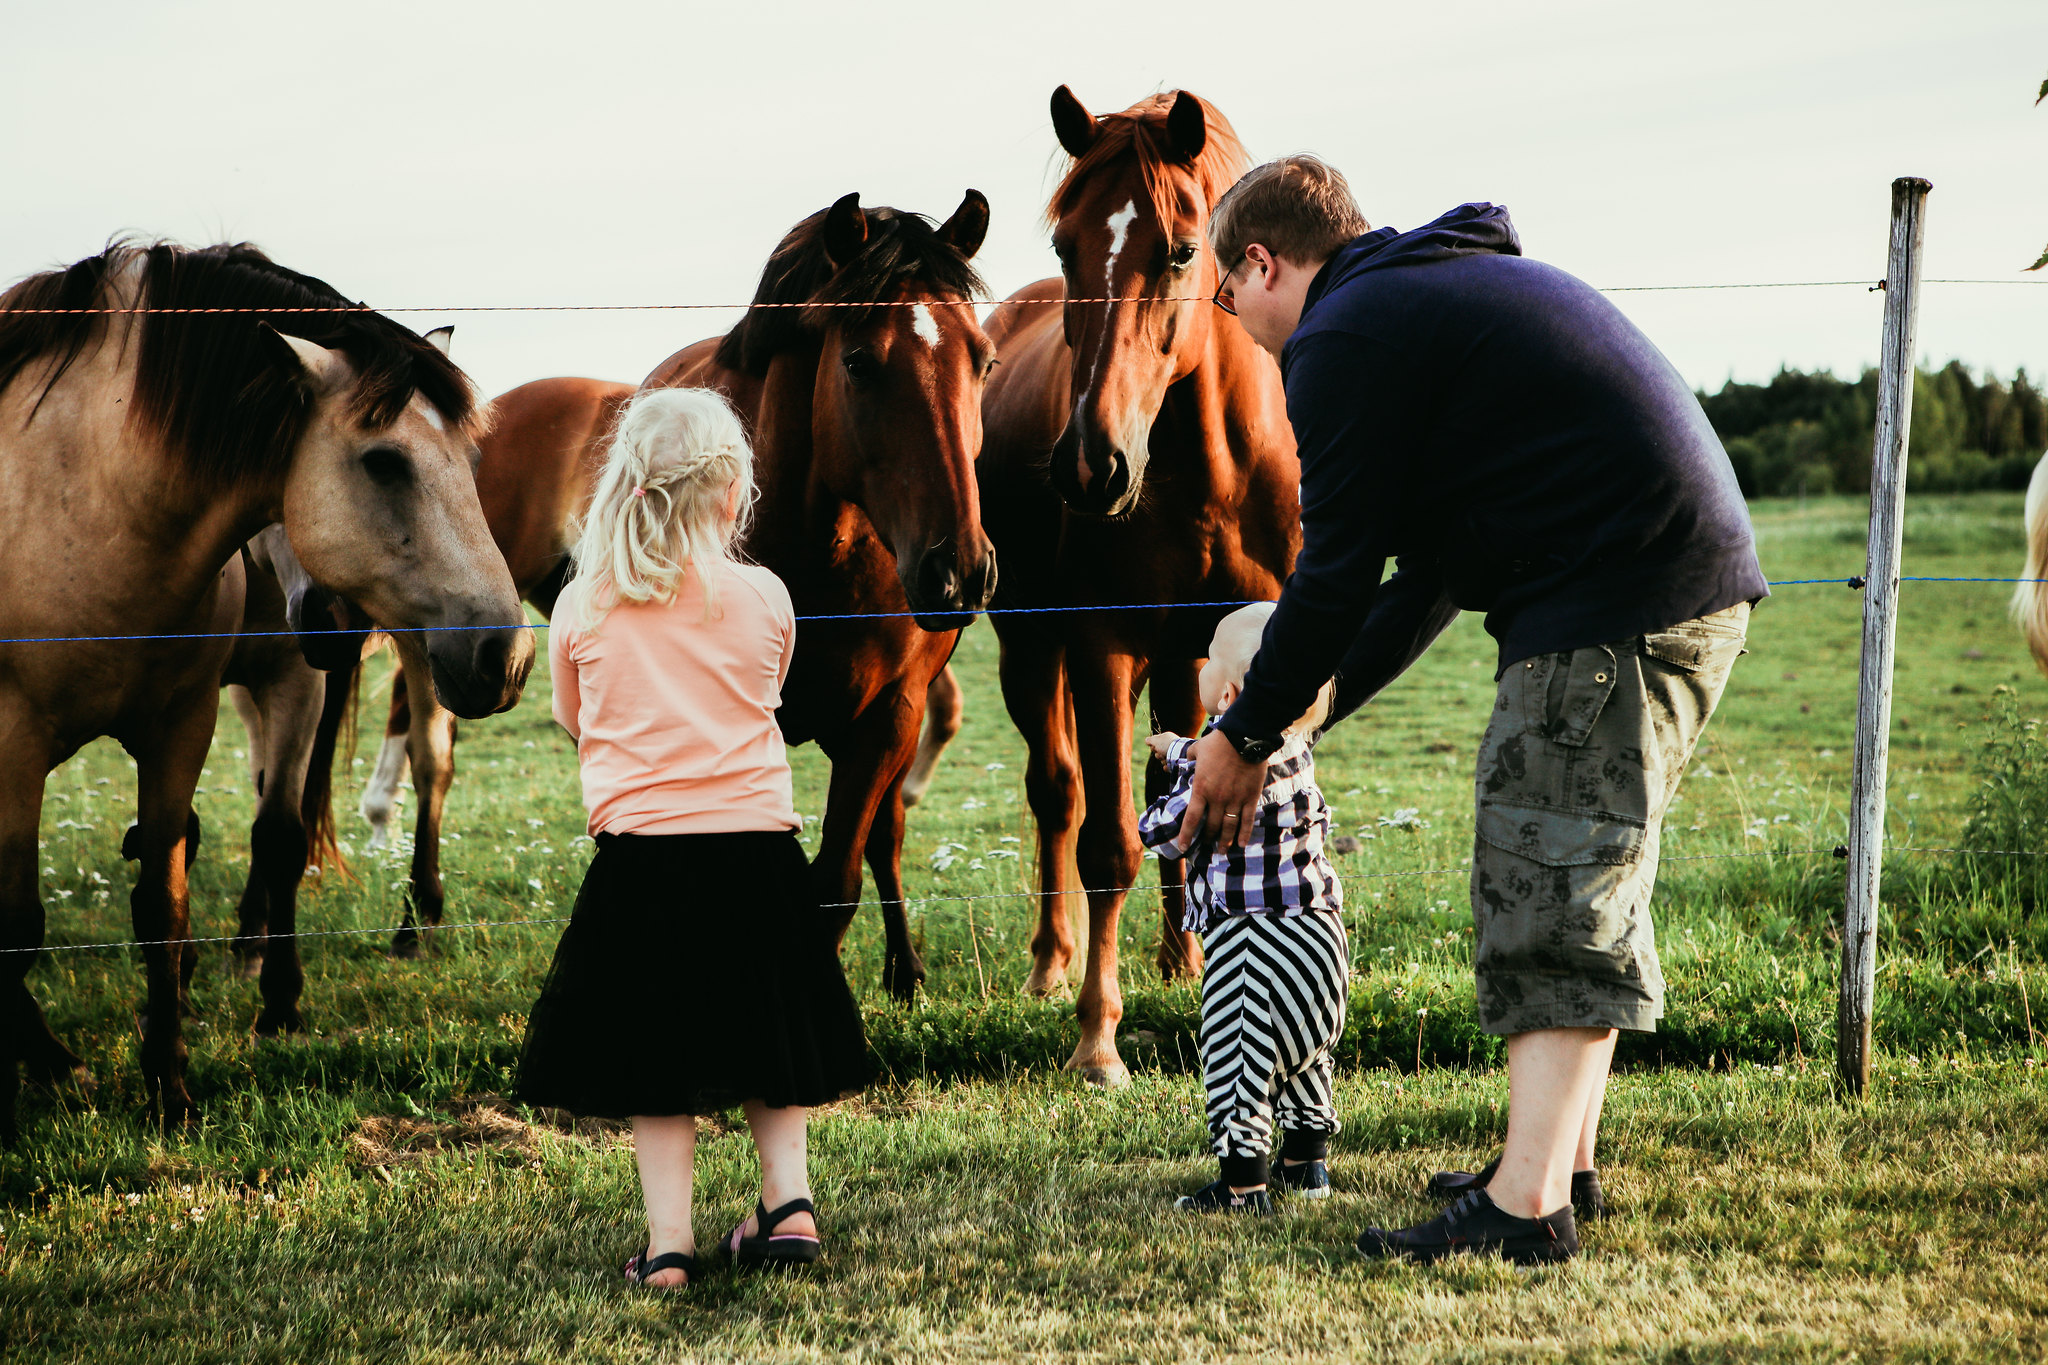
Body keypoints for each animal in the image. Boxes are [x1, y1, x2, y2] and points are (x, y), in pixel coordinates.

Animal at [0, 240, 532, 1136]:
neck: (80, 501)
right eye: (383, 460)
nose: (508, 654)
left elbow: (190, 883)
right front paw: (50, 1061)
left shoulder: (212, 711)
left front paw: (193, 1065)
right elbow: (23, 924)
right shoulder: (17, 741)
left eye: (471, 463)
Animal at [642, 191, 999, 998]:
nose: (959, 571)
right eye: (860, 361)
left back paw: (906, 971)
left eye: (984, 359)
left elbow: (835, 879)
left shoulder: (889, 714)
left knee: (884, 839)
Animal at [976, 89, 1299, 1085]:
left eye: (1184, 249)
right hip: (1031, 651)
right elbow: (1107, 837)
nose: (1091, 466)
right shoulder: (1100, 646)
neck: (1205, 474)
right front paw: (1097, 1038)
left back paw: (1181, 953)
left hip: (1185, 658)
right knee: (1057, 793)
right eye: (1063, 246)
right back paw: (1053, 962)